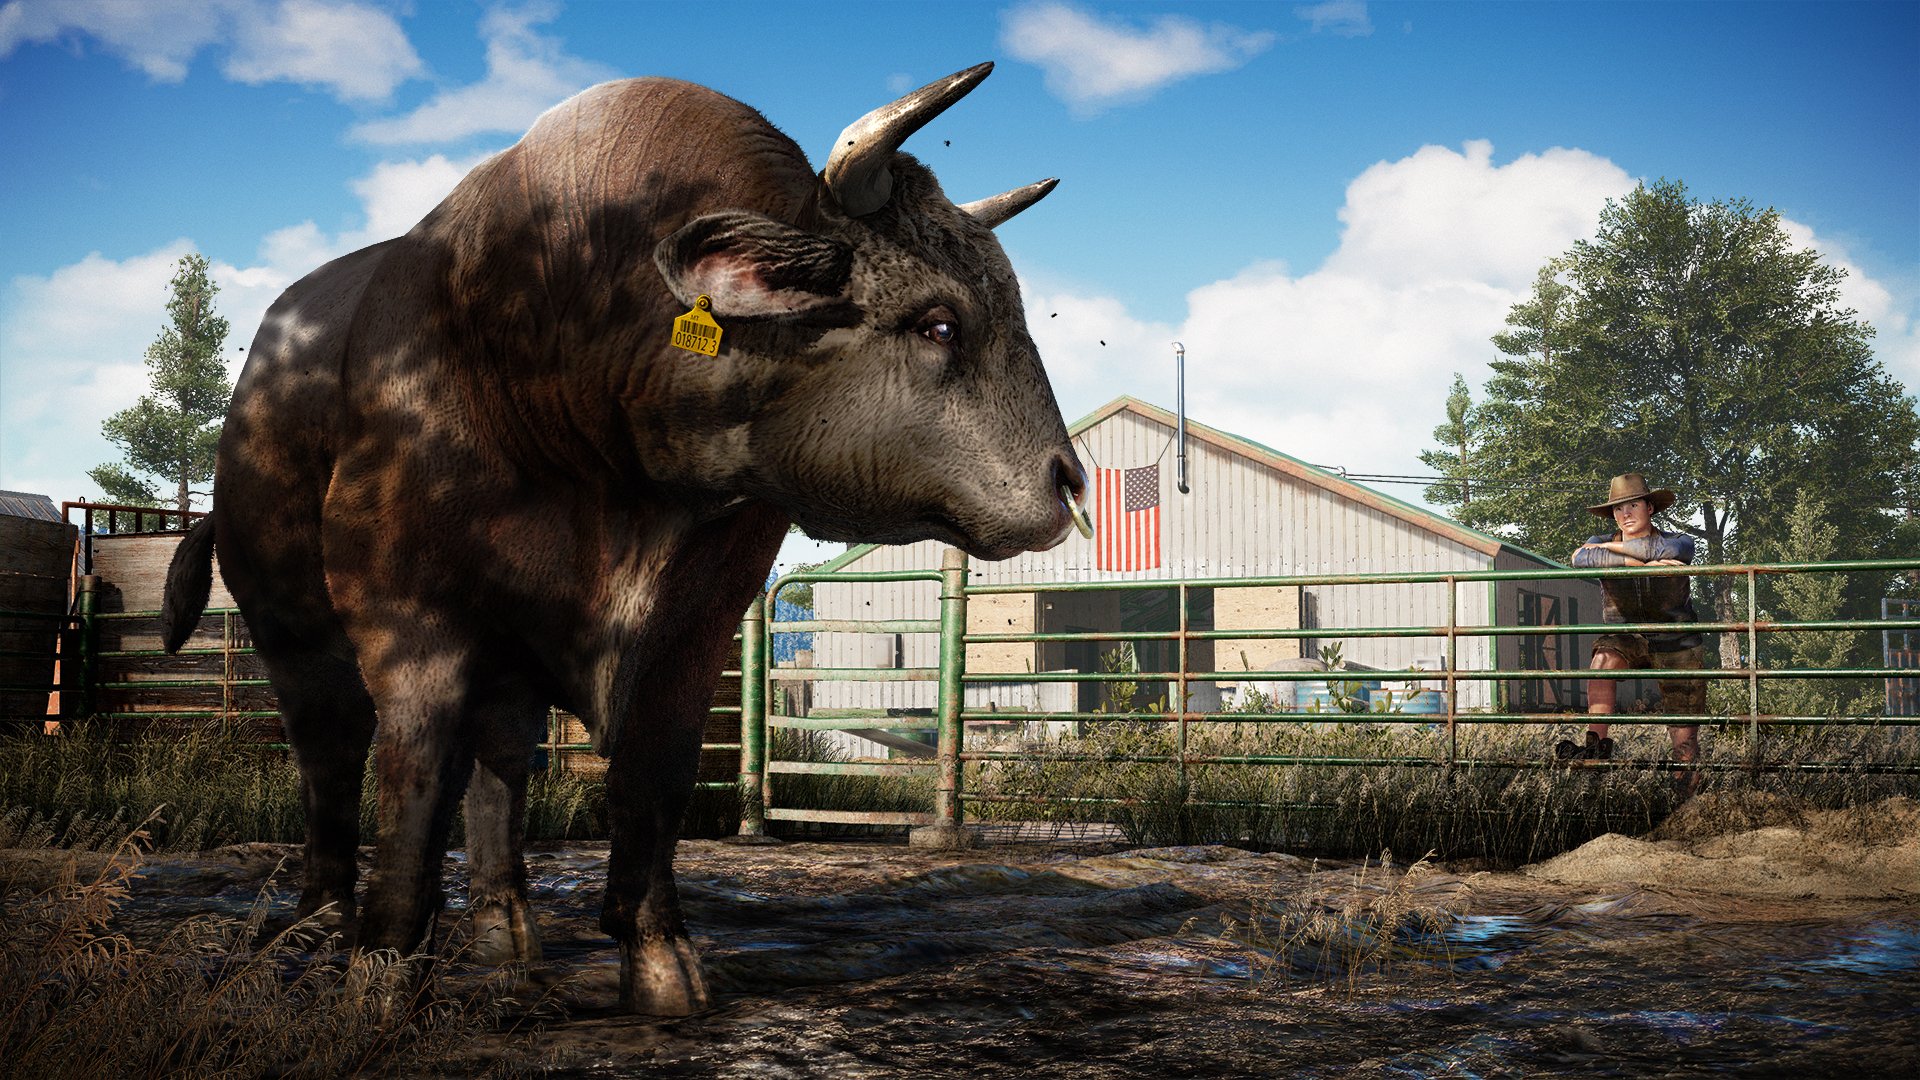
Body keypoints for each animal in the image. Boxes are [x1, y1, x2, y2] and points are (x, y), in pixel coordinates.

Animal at [160, 62, 1083, 1016]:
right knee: (333, 755)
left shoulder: (693, 628)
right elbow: (414, 781)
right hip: (294, 632)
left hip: (504, 658)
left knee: (498, 764)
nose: (1068, 484)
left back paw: (504, 930)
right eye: (939, 322)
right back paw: (315, 923)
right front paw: (379, 970)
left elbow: (653, 777)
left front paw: (658, 955)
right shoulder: (410, 619)